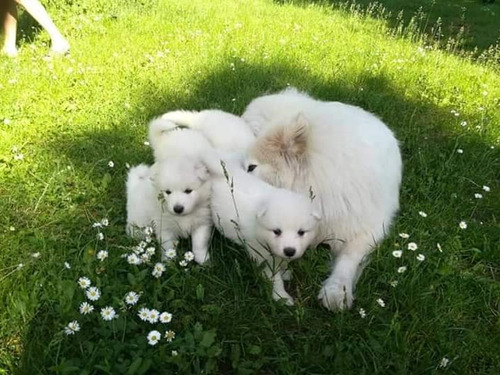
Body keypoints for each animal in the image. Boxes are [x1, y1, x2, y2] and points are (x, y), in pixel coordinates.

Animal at [202, 152, 322, 306]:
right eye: (276, 231)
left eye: (301, 232)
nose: (289, 251)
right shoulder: (262, 256)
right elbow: (274, 278)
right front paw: (281, 296)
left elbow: (283, 263)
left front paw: (285, 271)